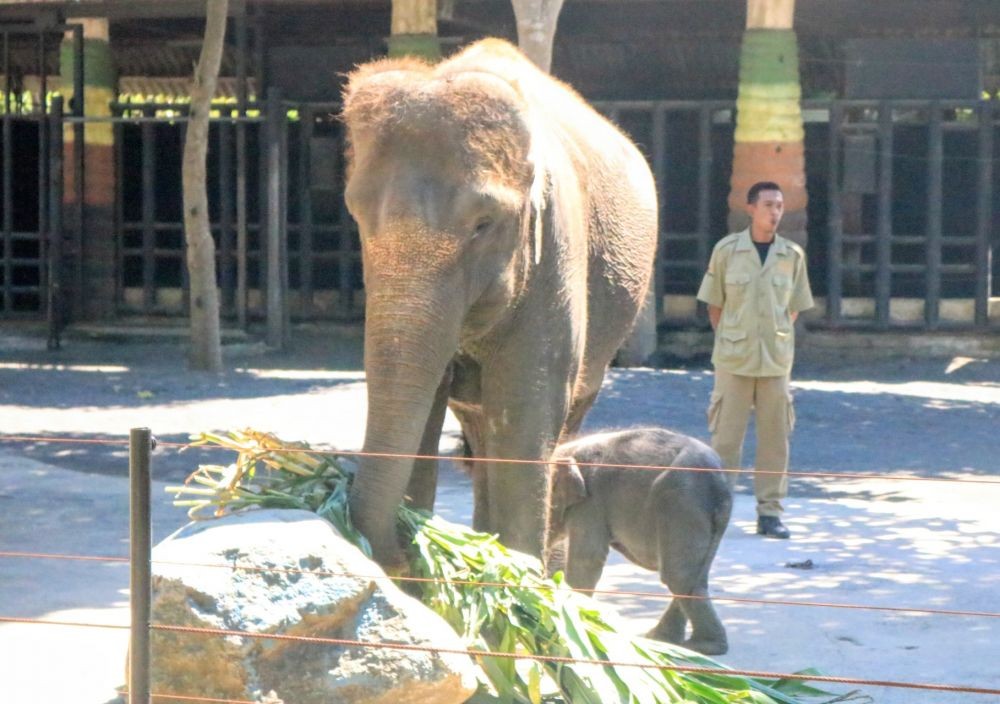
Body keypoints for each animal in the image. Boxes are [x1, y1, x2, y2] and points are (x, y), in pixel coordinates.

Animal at [552, 426, 732, 656]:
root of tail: (720, 485)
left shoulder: (591, 502)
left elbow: (587, 560)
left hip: (681, 503)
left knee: (678, 576)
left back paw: (702, 647)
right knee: (693, 576)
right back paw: (663, 639)